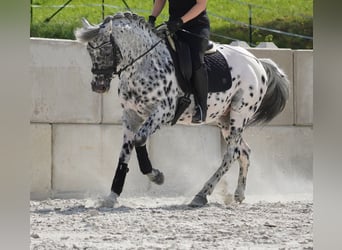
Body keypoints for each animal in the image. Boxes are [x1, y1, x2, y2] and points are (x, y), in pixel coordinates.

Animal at [75, 11, 288, 207]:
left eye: (105, 50)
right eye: (89, 52)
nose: (98, 86)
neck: (143, 64)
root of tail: (257, 62)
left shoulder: (163, 112)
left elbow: (139, 139)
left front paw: (156, 176)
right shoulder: (131, 115)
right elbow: (124, 153)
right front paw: (112, 196)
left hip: (239, 113)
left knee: (231, 154)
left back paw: (202, 194)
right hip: (224, 119)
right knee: (243, 151)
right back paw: (238, 194)